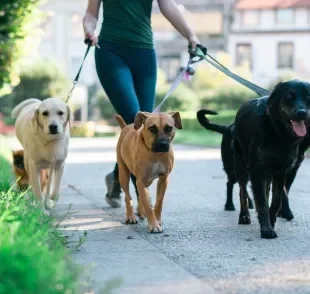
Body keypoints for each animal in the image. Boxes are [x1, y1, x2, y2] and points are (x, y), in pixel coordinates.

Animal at [234, 80, 310, 239]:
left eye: (308, 97)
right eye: (289, 96)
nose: (302, 113)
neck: (278, 133)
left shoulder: (281, 171)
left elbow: (276, 199)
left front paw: (271, 220)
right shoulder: (256, 171)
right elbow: (262, 202)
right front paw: (266, 229)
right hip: (241, 167)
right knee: (242, 191)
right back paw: (244, 216)